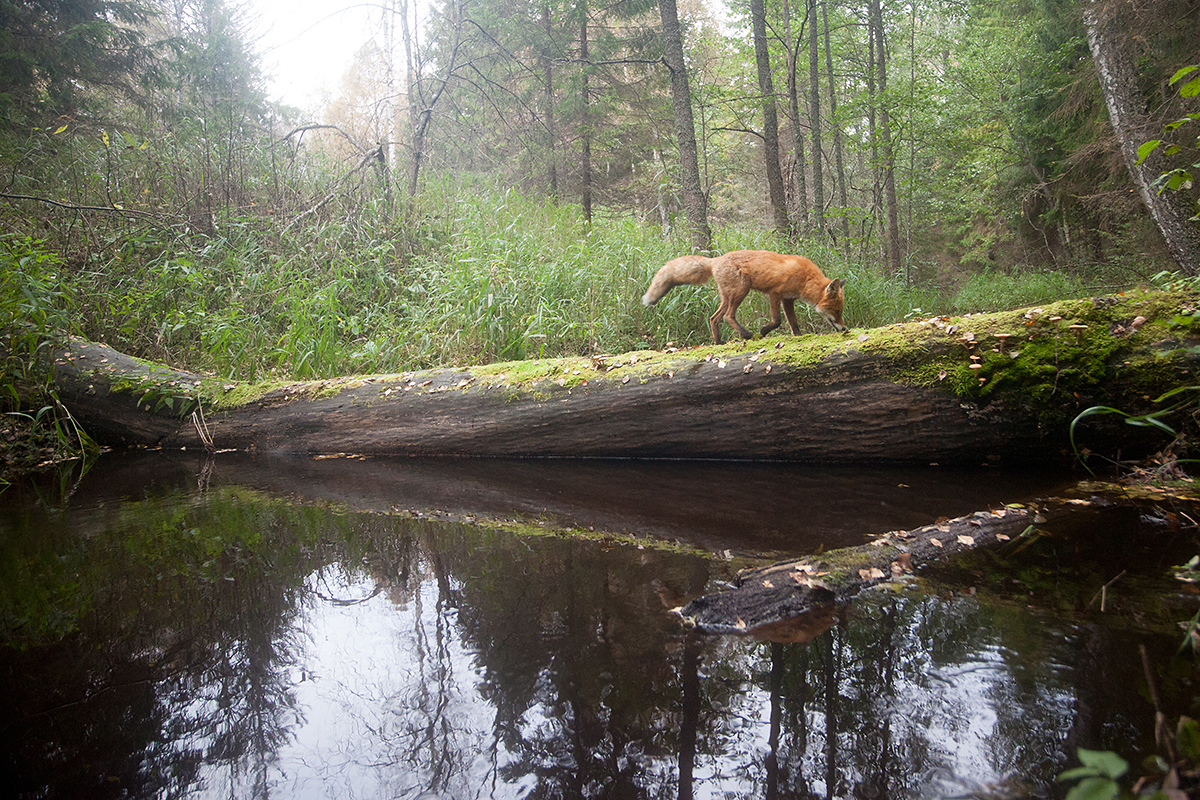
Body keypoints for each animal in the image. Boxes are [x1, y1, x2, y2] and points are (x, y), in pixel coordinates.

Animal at [643, 247, 849, 340]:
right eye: (837, 311)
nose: (845, 329)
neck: (805, 279)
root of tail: (715, 260)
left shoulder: (788, 299)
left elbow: (793, 323)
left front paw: (798, 337)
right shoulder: (775, 293)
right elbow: (777, 321)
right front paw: (764, 331)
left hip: (728, 296)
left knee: (714, 318)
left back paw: (718, 343)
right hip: (741, 291)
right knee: (728, 316)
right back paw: (746, 334)